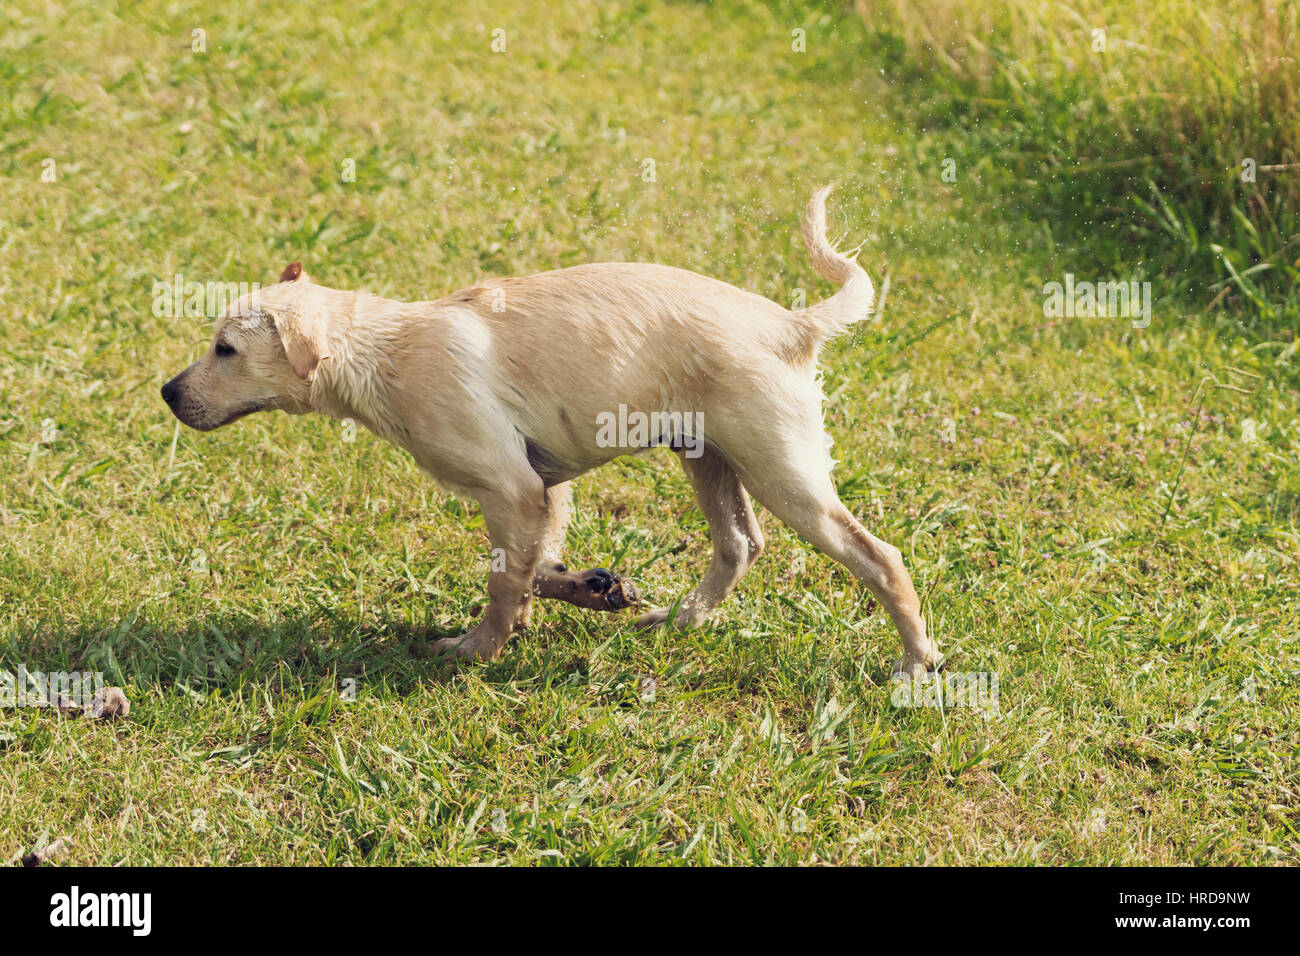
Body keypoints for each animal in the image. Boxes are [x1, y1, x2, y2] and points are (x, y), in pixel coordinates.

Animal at [162, 187, 941, 676]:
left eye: (225, 350)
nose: (167, 394)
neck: (383, 350)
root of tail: (795, 324)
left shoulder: (512, 487)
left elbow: (504, 581)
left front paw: (474, 651)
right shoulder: (543, 489)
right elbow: (533, 567)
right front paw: (595, 589)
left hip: (786, 473)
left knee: (881, 558)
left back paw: (915, 662)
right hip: (708, 457)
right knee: (741, 545)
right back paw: (674, 622)